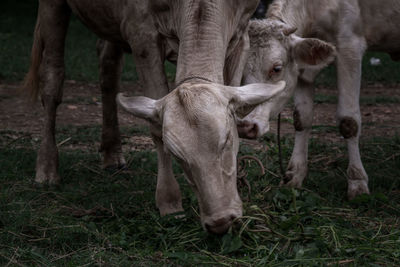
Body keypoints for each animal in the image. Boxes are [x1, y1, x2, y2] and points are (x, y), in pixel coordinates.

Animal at [23, 0, 288, 234]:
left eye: (227, 141)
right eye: (177, 155)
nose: (220, 222)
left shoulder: (241, 32)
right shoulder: (141, 34)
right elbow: (154, 126)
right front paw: (169, 202)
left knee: (108, 65)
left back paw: (112, 153)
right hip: (53, 8)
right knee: (52, 77)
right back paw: (47, 168)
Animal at [238, 0, 400, 201]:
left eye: (276, 68)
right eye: (242, 73)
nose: (245, 126)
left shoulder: (350, 47)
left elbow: (349, 121)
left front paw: (357, 182)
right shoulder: (303, 69)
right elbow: (301, 119)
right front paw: (294, 175)